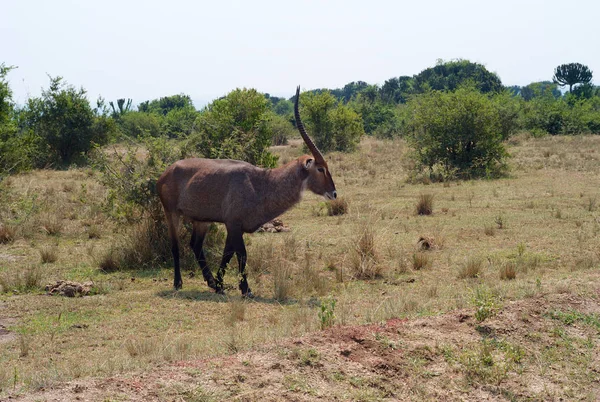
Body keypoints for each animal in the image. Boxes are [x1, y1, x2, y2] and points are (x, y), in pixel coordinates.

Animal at [156, 86, 338, 296]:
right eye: (320, 169)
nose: (334, 193)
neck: (261, 183)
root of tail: (166, 173)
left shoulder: (234, 226)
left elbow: (227, 255)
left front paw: (220, 286)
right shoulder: (234, 225)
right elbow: (242, 255)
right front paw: (246, 289)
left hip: (202, 220)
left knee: (196, 245)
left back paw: (210, 283)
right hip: (171, 213)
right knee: (175, 245)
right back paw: (178, 283)